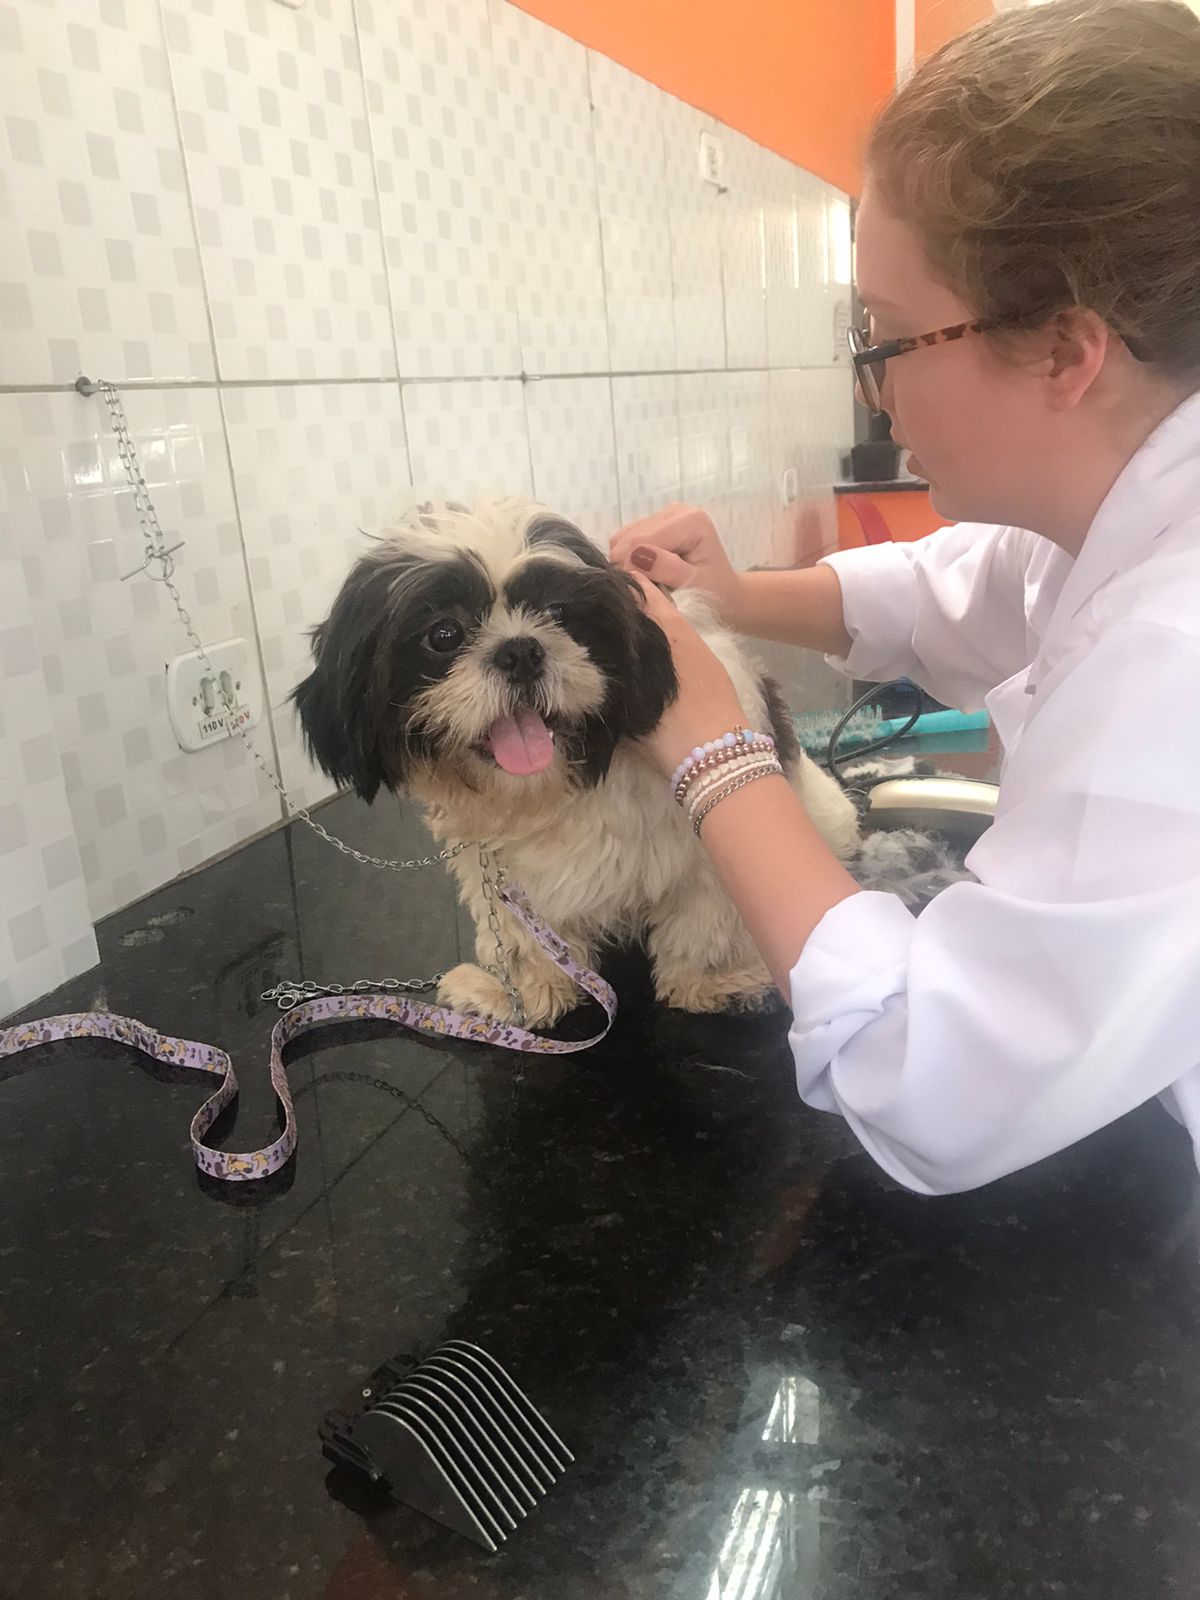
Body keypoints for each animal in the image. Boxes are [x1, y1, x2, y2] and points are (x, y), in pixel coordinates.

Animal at [291, 498, 861, 1025]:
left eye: (560, 615)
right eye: (444, 634)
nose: (520, 650)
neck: (554, 791)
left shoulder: (702, 859)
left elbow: (704, 918)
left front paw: (715, 982)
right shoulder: (505, 876)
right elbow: (525, 939)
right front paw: (523, 991)